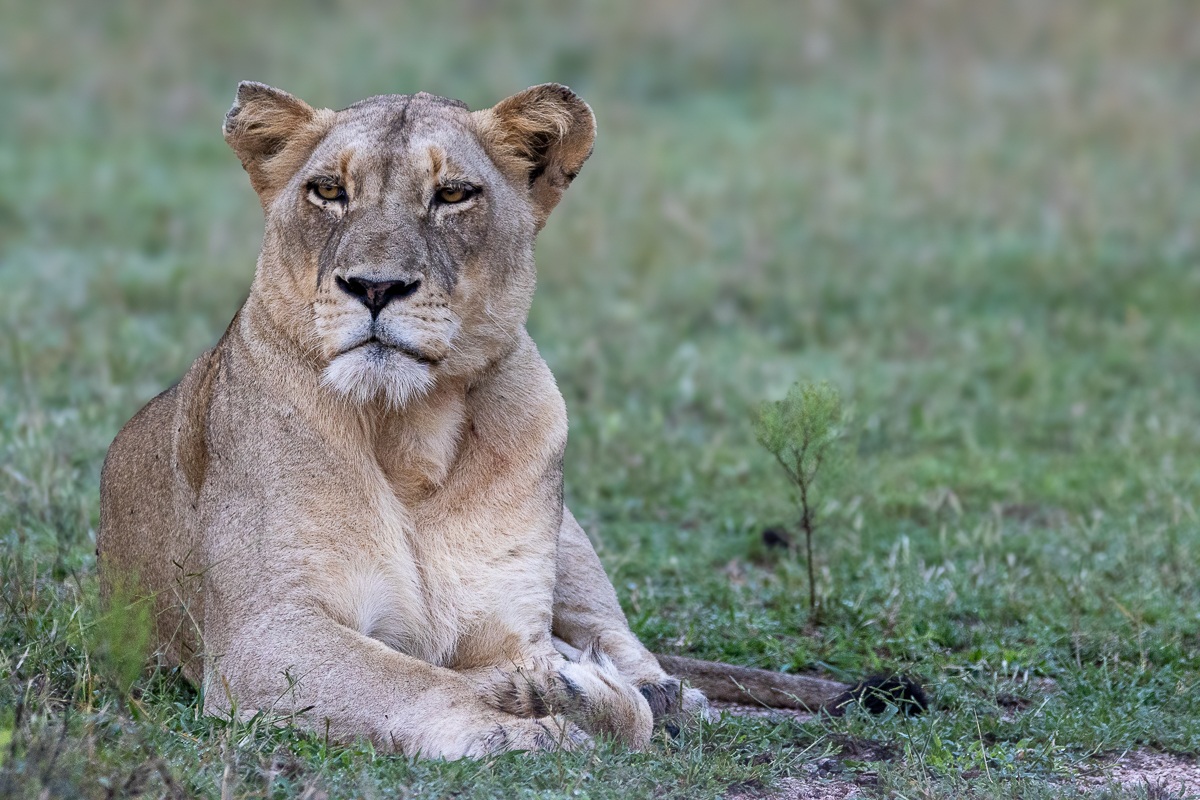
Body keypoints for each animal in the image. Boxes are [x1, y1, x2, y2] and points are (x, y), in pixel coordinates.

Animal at [98, 82, 880, 760]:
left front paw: (571, 690)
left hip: (573, 543)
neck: (409, 427)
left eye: (451, 194)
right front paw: (527, 720)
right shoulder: (264, 633)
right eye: (328, 191)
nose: (374, 287)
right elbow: (408, 681)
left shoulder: (506, 624)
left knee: (626, 643)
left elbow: (607, 701)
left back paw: (665, 690)